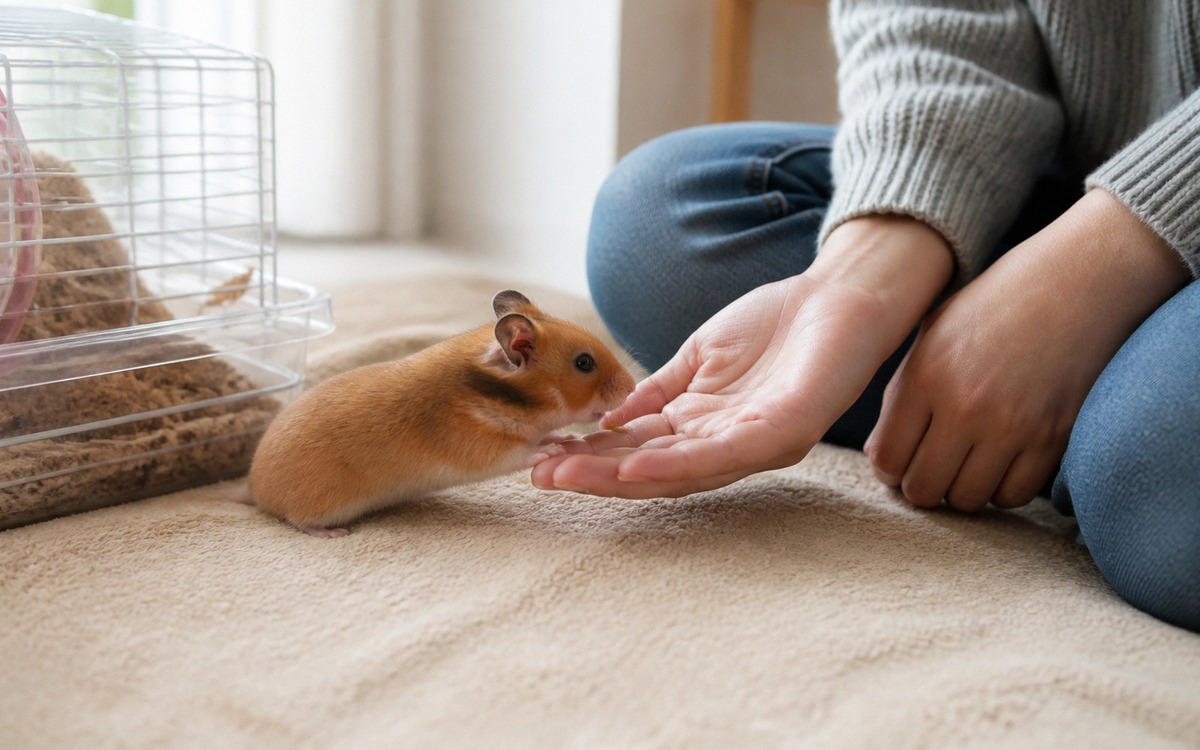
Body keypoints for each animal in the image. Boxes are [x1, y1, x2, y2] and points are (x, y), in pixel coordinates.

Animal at [247, 289, 635, 538]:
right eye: (584, 363)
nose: (632, 387)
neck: (498, 395)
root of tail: (254, 489)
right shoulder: (480, 448)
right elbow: (521, 453)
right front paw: (552, 448)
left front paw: (566, 436)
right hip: (321, 503)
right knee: (295, 520)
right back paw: (333, 534)